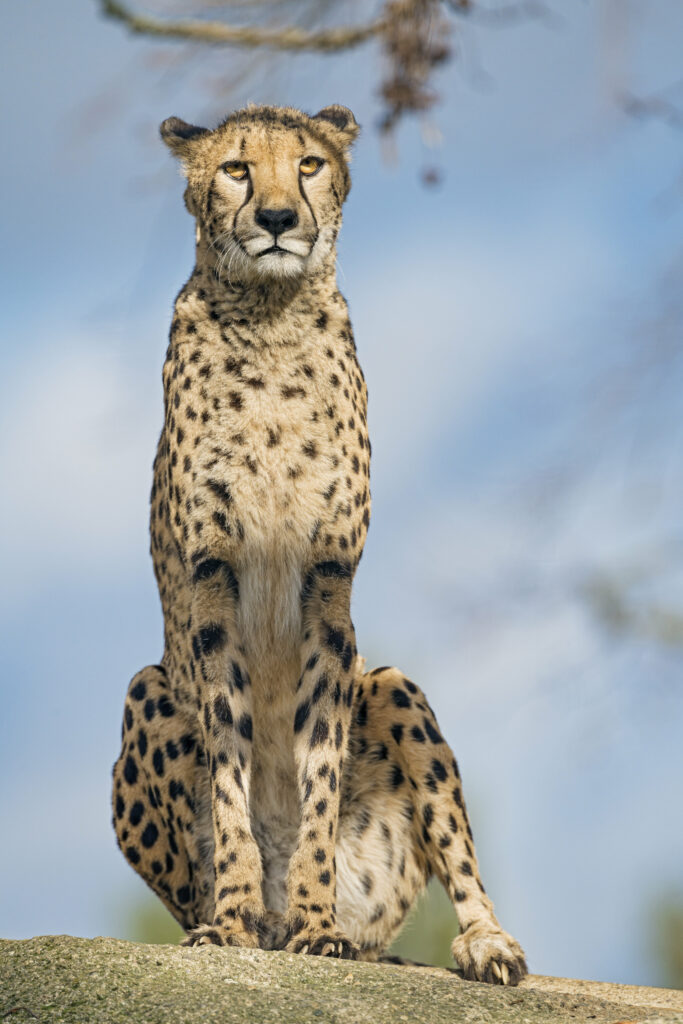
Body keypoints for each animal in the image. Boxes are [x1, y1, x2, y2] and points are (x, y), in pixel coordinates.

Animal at [112, 102, 528, 985]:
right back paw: (249, 917)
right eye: (236, 169)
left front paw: (314, 921)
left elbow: (321, 765)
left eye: (307, 164)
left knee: (452, 852)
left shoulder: (327, 584)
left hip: (395, 687)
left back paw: (480, 942)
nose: (275, 219)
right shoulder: (213, 583)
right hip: (146, 687)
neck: (270, 319)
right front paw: (235, 918)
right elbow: (229, 768)